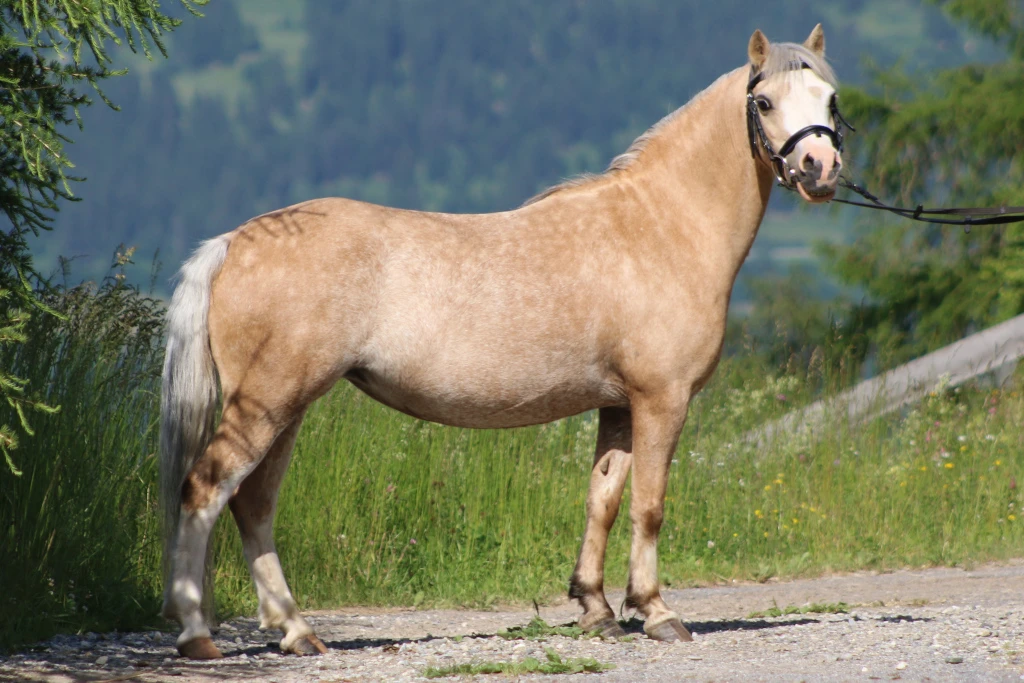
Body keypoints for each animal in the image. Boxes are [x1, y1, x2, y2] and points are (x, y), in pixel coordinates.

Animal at [160, 25, 846, 659]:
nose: (820, 168)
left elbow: (602, 499)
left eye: (831, 99)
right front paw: (656, 612)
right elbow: (649, 506)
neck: (659, 225)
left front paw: (596, 609)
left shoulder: (620, 405)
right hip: (268, 404)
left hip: (288, 408)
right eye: (764, 102)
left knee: (253, 504)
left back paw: (296, 631)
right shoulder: (662, 399)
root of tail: (235, 241)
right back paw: (198, 634)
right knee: (206, 489)